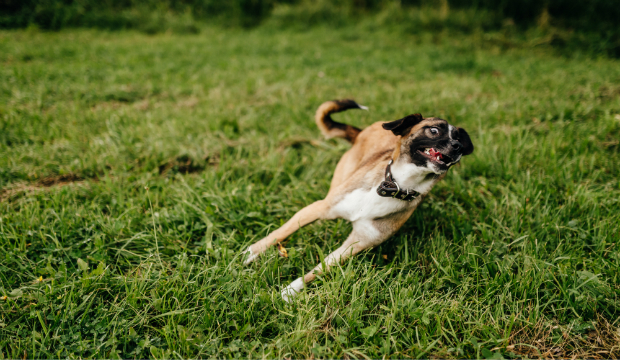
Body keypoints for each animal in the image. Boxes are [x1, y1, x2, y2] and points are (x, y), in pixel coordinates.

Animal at [243, 100, 474, 302]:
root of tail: (363, 131)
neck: (395, 184)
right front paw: (252, 253)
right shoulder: (320, 208)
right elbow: (280, 233)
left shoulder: (358, 242)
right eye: (434, 131)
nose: (457, 147)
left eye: (459, 140)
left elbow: (320, 269)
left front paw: (292, 290)